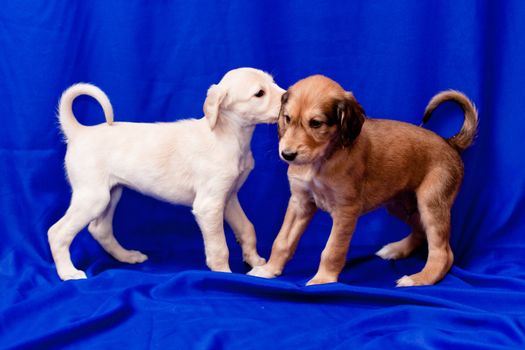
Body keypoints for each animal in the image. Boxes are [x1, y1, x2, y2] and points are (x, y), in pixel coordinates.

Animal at [48, 67, 284, 282]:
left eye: (273, 83)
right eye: (259, 93)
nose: (287, 96)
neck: (227, 134)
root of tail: (79, 132)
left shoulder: (229, 198)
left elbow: (247, 229)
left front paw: (254, 261)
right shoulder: (209, 205)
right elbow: (219, 248)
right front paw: (224, 274)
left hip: (112, 194)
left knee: (99, 229)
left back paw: (127, 256)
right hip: (93, 198)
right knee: (57, 233)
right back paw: (68, 273)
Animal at [248, 75, 476, 286]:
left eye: (316, 123)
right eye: (287, 118)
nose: (287, 155)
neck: (323, 160)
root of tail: (450, 143)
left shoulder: (346, 210)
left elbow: (332, 250)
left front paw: (323, 280)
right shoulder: (300, 202)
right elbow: (282, 241)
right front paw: (269, 269)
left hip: (430, 203)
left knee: (443, 253)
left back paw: (418, 279)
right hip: (400, 204)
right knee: (421, 231)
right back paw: (396, 249)